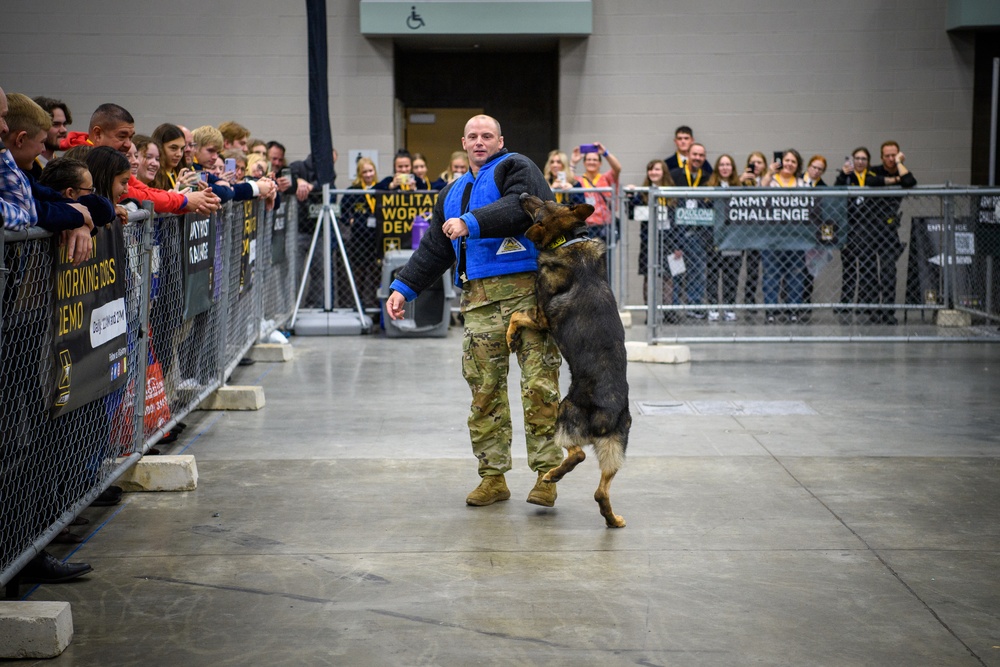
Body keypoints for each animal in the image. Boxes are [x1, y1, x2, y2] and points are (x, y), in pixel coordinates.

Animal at [512, 192, 628, 528]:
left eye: (540, 206)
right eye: (547, 198)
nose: (522, 194)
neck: (567, 240)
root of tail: (608, 414)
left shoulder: (539, 317)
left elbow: (515, 316)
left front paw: (511, 336)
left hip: (563, 414)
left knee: (577, 455)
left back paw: (552, 476)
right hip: (616, 449)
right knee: (601, 491)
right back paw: (612, 519)